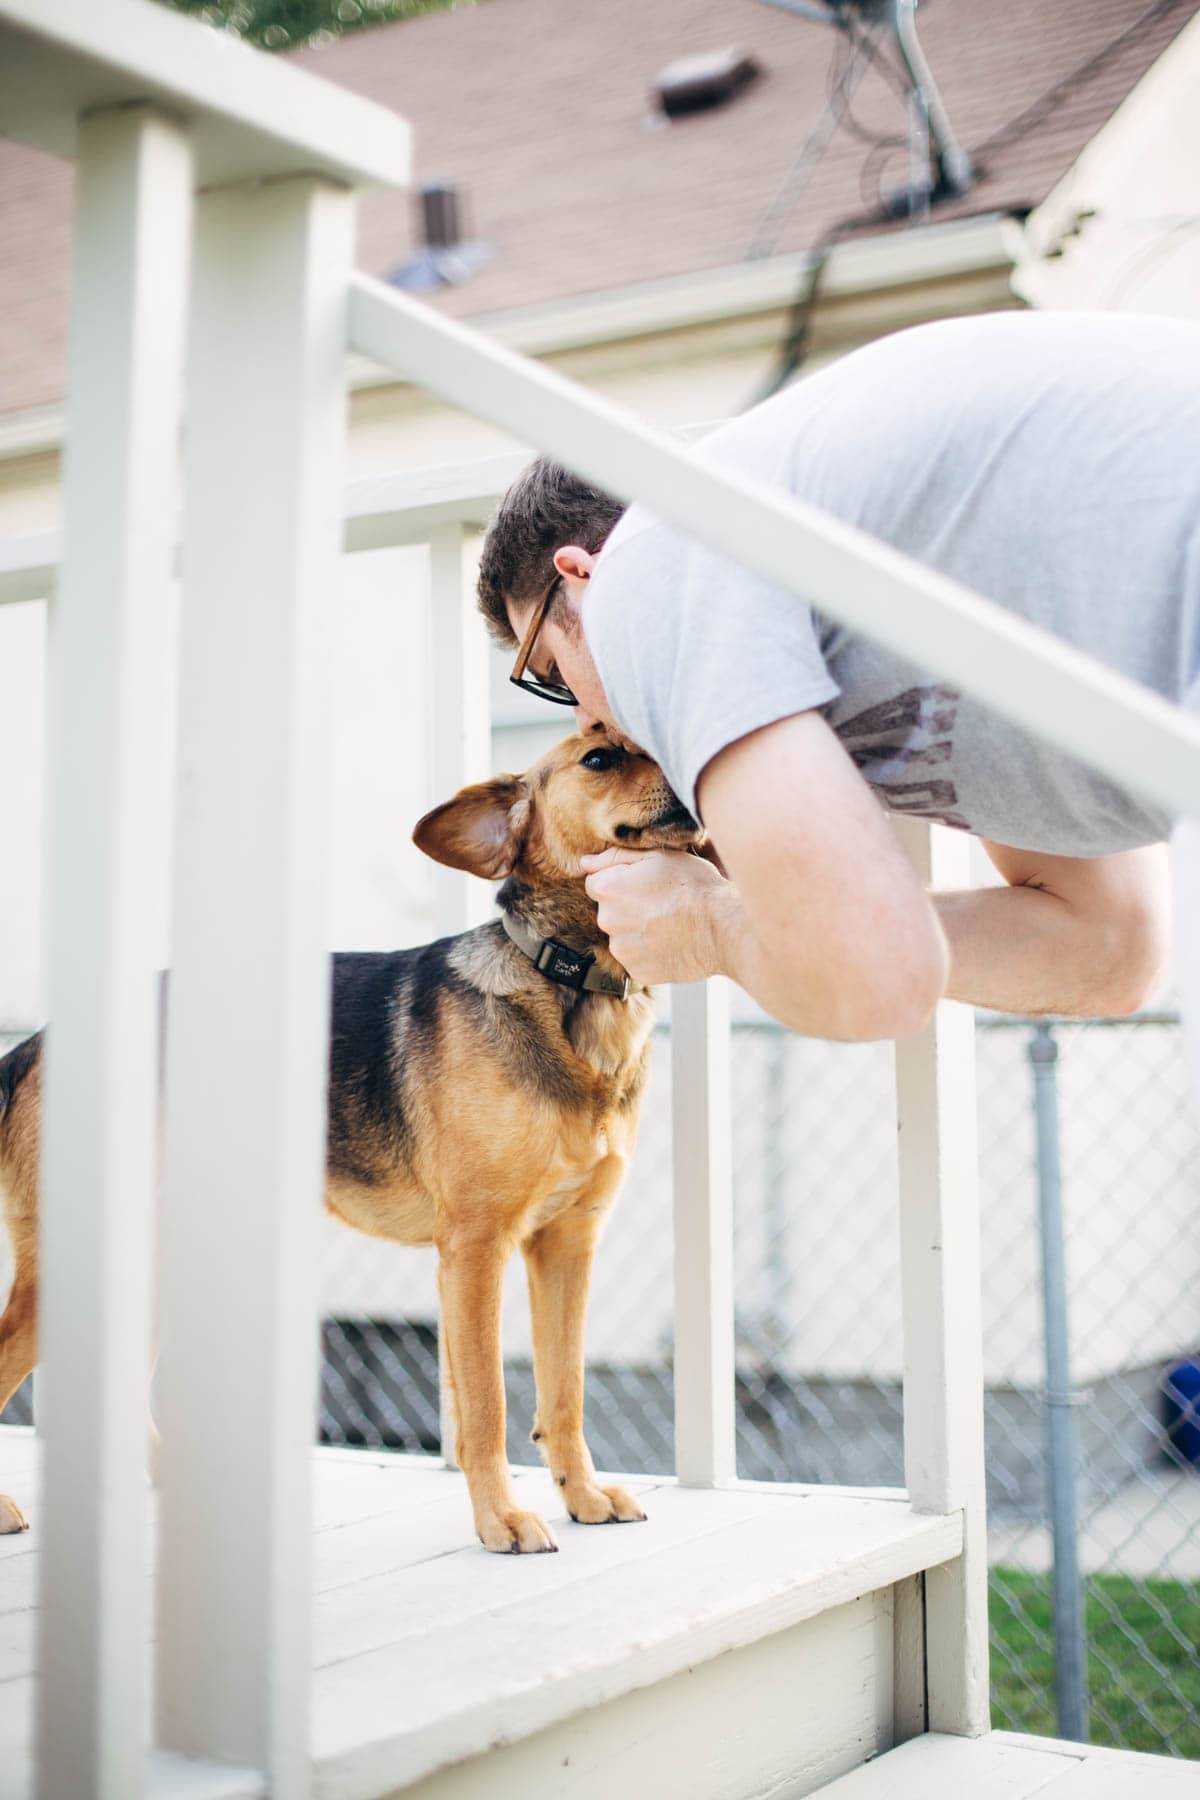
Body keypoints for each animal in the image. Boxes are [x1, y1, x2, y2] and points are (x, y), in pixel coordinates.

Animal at [0, 730, 705, 1548]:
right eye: (600, 758)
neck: (566, 981)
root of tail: (36, 1043)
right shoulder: (476, 1249)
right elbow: (487, 1406)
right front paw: (501, 1519)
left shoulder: (567, 1246)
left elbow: (565, 1392)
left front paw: (582, 1493)